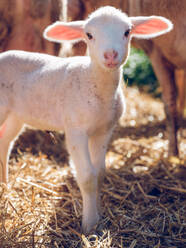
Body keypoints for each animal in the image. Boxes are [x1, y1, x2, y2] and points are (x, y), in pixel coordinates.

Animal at [0, 6, 172, 233]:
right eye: (89, 35)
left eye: (127, 32)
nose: (110, 54)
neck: (93, 81)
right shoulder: (76, 130)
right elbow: (87, 177)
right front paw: (89, 225)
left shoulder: (104, 130)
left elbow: (99, 174)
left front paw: (98, 216)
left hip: (16, 114)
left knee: (4, 142)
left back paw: (4, 185)